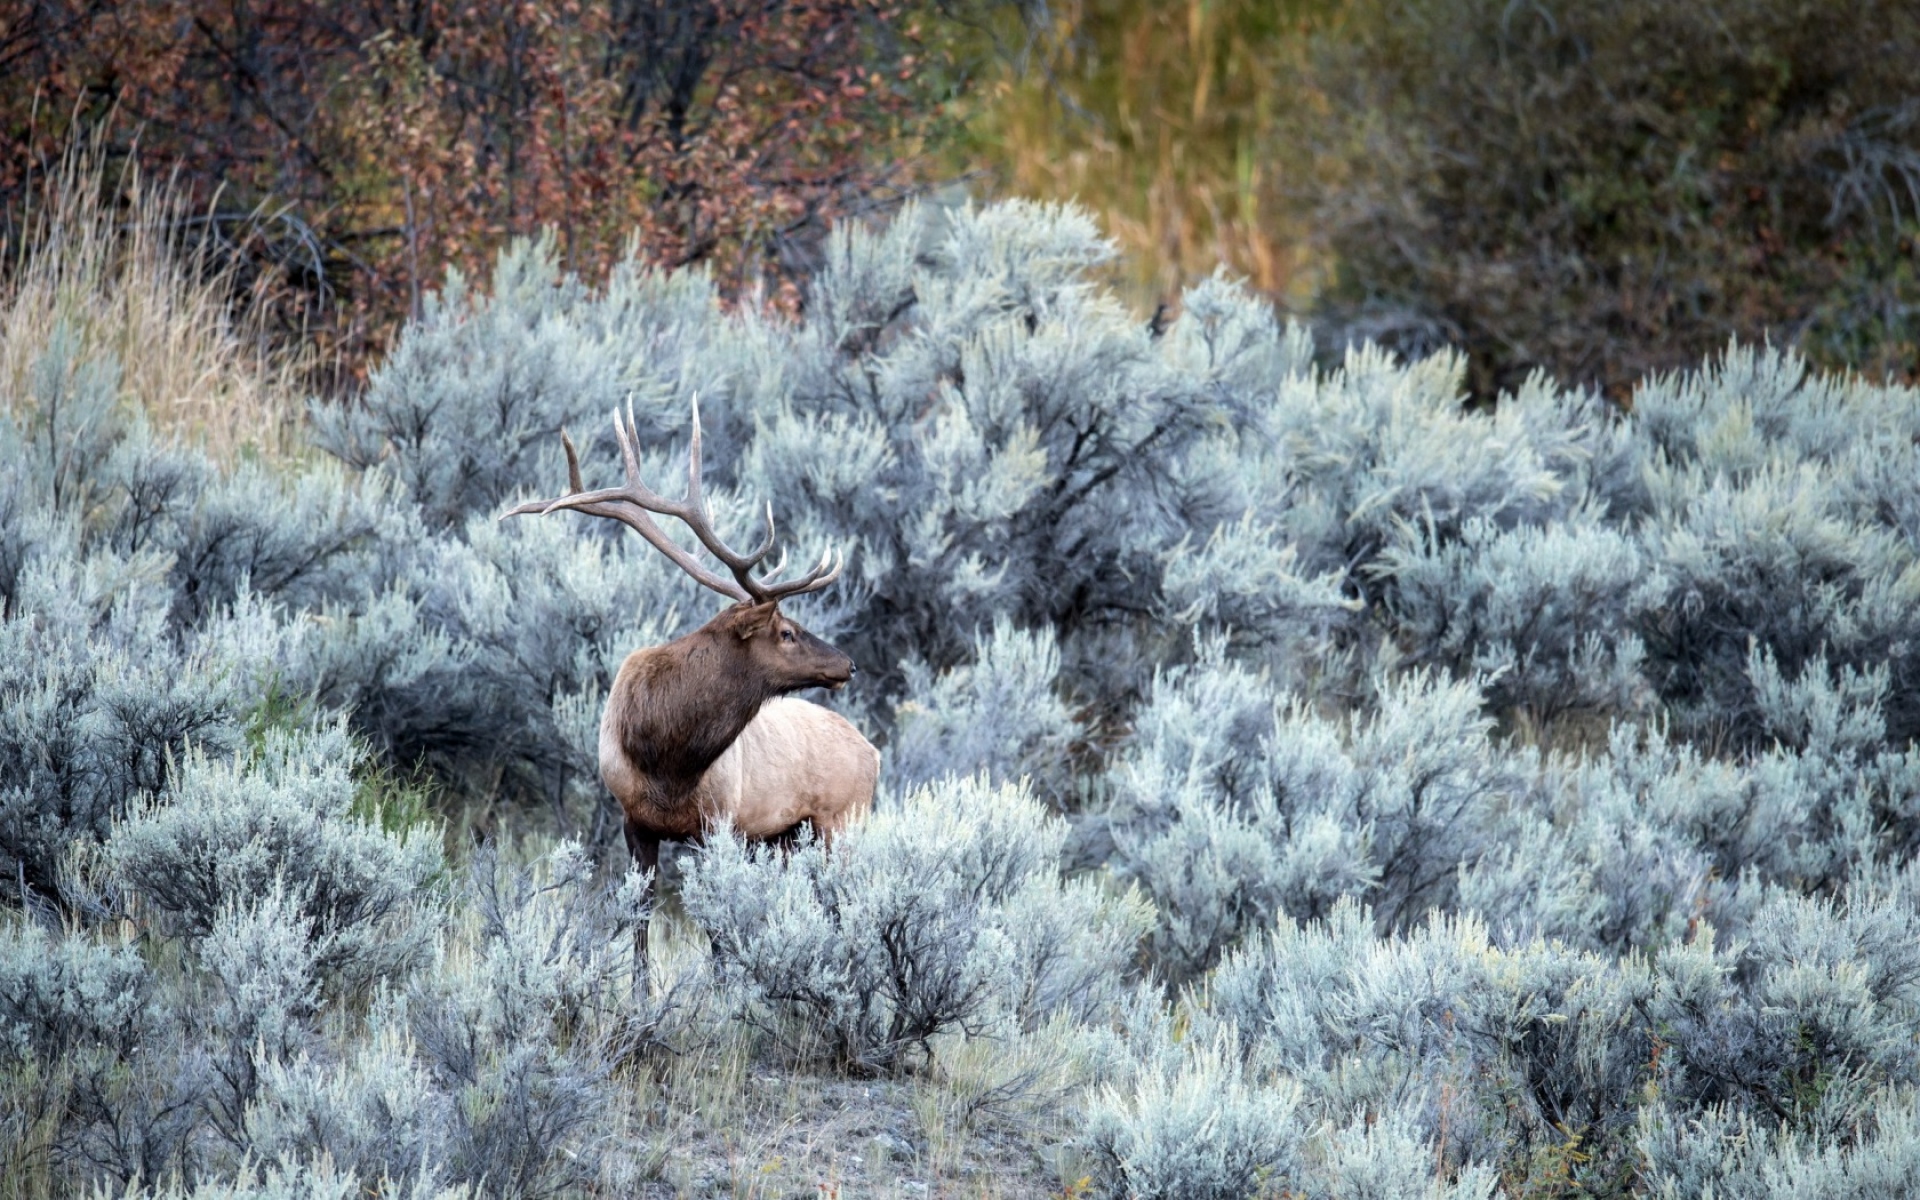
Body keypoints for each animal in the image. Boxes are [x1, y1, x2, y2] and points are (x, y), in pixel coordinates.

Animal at [503, 399, 878, 963]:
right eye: (787, 632)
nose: (848, 665)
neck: (667, 757)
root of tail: (874, 753)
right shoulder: (633, 822)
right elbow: (640, 920)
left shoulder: (716, 825)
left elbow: (718, 930)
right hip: (790, 835)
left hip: (842, 819)